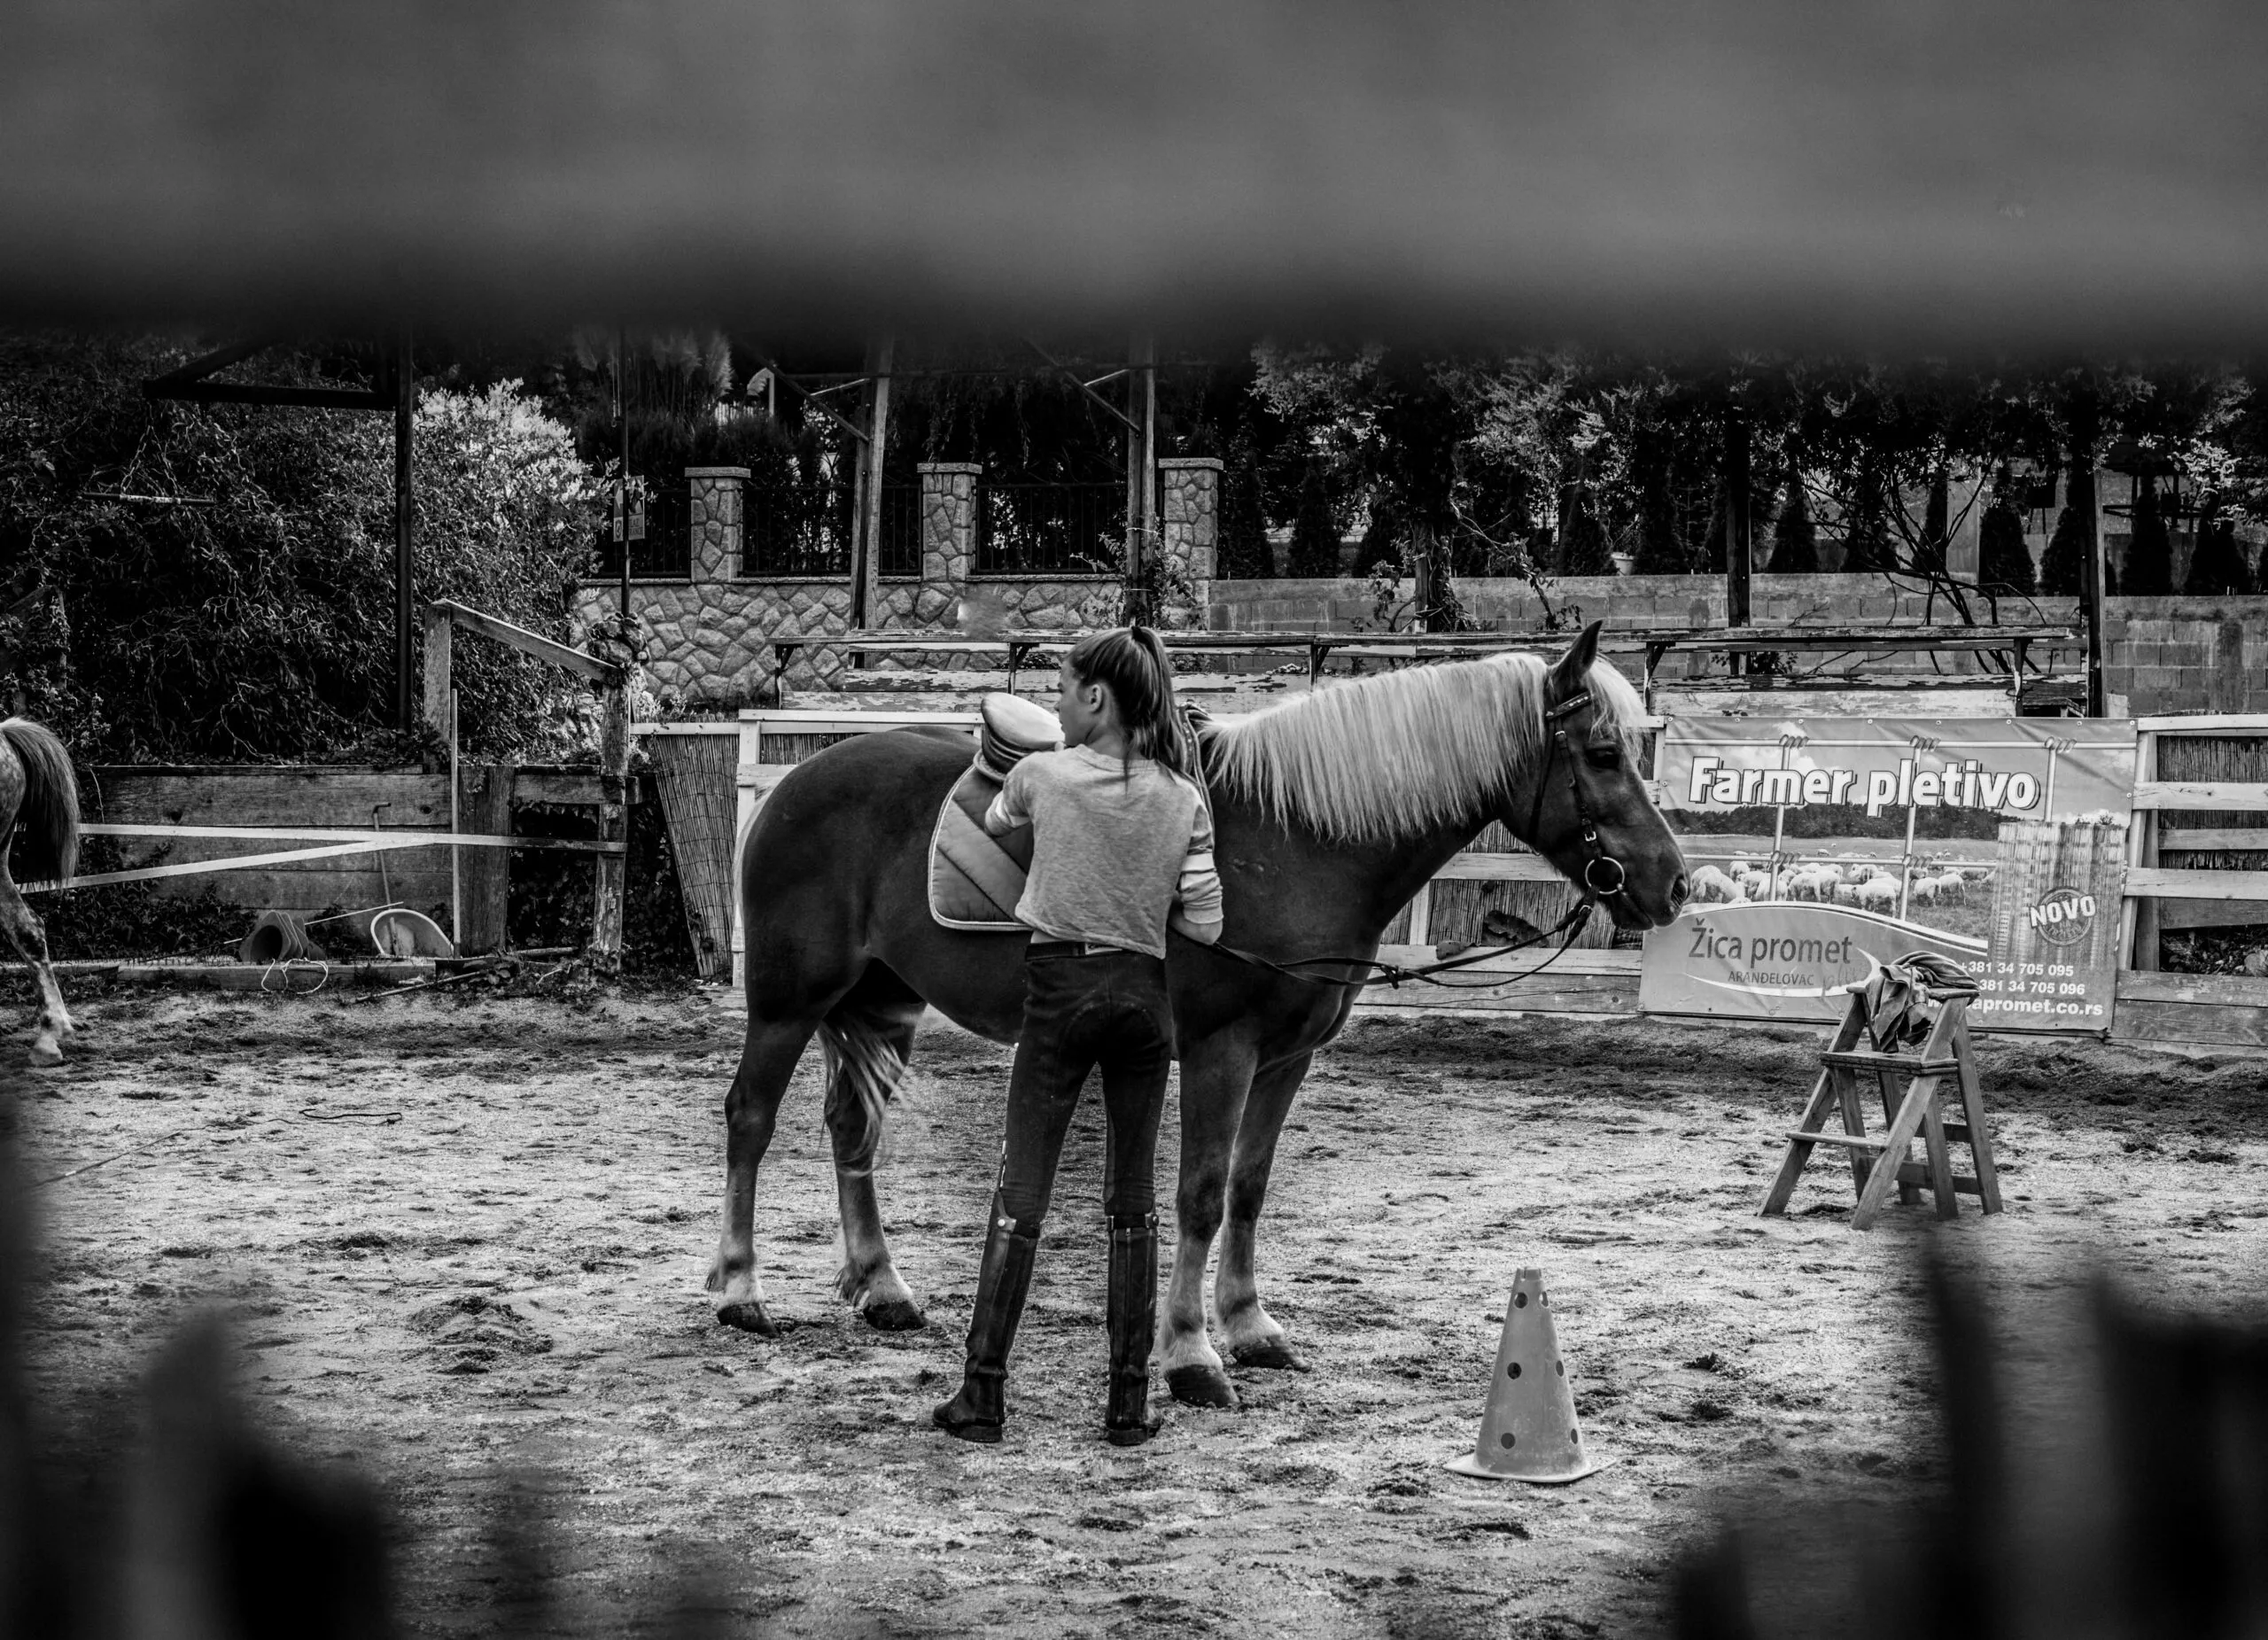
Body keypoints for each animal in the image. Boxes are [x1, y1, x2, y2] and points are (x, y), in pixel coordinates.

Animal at [709, 621, 1688, 1407]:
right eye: (1605, 754)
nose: (1672, 884)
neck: (1295, 843)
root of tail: (799, 778)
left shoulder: (1287, 1057)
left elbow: (1249, 1188)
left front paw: (1250, 1327)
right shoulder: (1223, 1051)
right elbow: (1201, 1194)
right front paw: (1191, 1355)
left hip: (882, 1004)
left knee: (852, 1128)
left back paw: (882, 1287)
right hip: (788, 1004)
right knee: (751, 1119)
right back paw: (739, 1291)